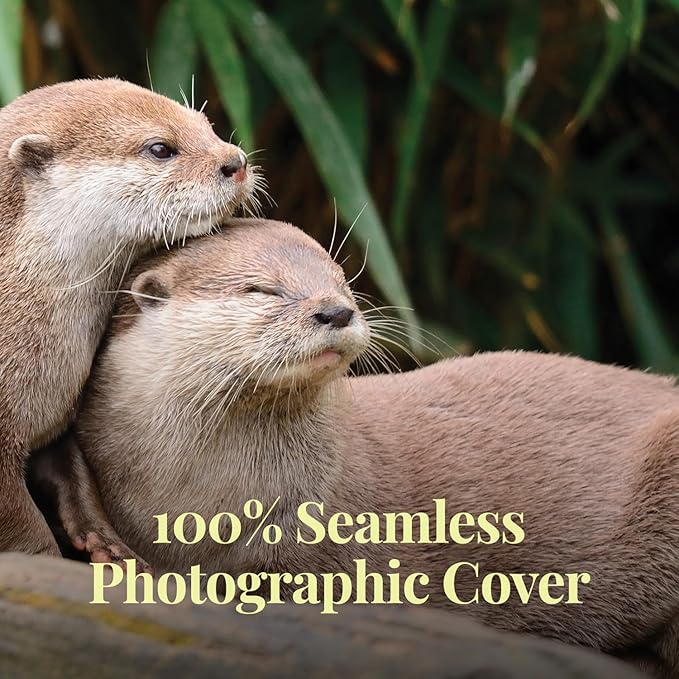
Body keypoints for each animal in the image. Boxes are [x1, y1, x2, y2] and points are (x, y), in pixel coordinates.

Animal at [0, 78, 257, 555]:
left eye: (206, 123)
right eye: (160, 148)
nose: (236, 161)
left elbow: (76, 474)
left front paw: (108, 543)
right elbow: (24, 529)